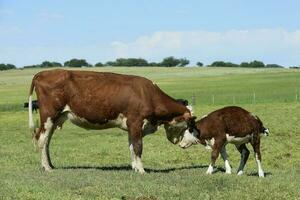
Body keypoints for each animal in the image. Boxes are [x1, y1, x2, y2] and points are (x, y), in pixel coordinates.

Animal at [27, 69, 197, 173]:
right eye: (189, 126)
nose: (179, 142)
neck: (148, 95)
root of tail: (42, 73)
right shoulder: (135, 122)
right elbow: (138, 147)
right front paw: (142, 170)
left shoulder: (131, 126)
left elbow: (131, 147)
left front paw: (135, 168)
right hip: (49, 115)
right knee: (41, 139)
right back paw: (47, 168)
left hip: (55, 119)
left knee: (46, 142)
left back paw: (50, 165)